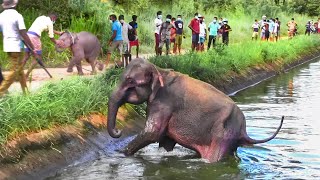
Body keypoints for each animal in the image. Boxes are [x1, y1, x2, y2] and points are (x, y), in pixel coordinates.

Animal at [108, 58, 284, 162]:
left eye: (130, 82)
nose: (118, 131)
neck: (159, 70)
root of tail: (243, 130)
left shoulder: (163, 104)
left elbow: (152, 133)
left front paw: (120, 153)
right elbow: (165, 141)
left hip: (222, 135)